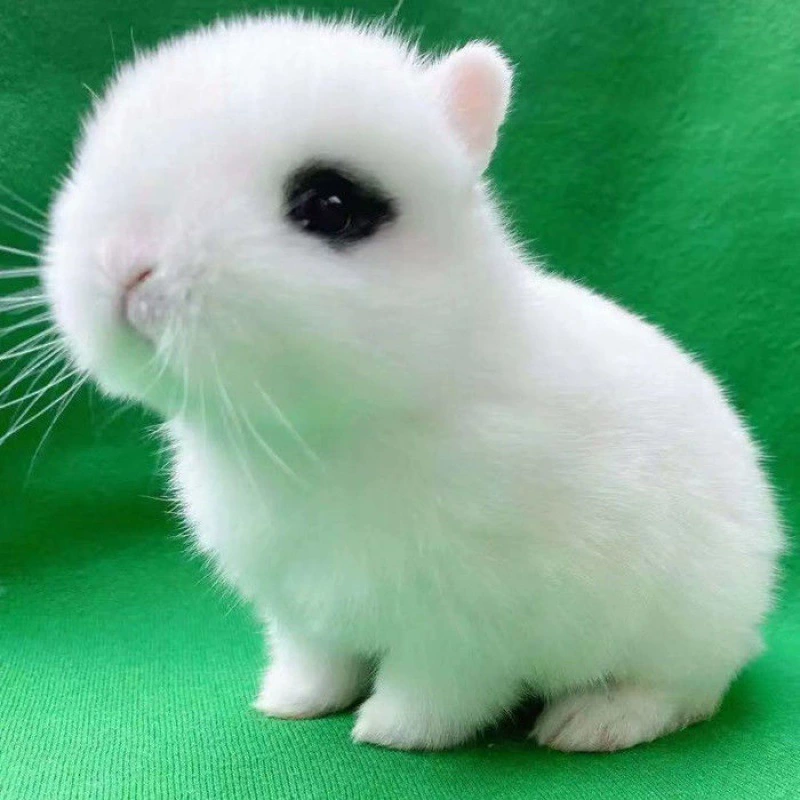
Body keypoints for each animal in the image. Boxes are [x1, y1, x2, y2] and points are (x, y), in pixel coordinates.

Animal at [43, 15, 783, 752]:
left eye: (331, 205)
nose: (126, 265)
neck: (316, 435)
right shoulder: (300, 611)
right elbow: (317, 662)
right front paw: (290, 704)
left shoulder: (463, 627)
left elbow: (438, 690)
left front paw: (390, 733)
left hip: (686, 625)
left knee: (685, 692)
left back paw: (589, 724)